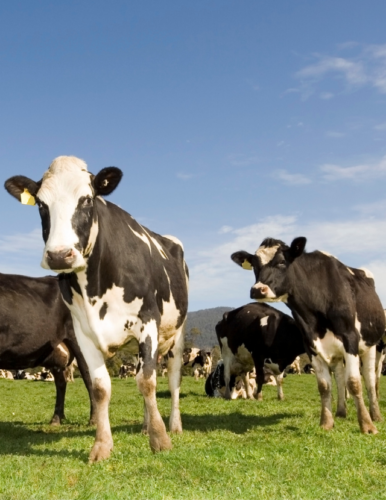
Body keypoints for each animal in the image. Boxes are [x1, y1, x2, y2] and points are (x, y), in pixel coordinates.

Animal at [231, 235, 384, 434]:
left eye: (282, 262)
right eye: (255, 265)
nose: (257, 289)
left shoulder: (350, 338)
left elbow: (354, 382)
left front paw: (367, 425)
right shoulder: (311, 343)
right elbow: (324, 386)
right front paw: (326, 422)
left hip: (370, 345)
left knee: (369, 378)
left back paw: (376, 415)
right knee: (339, 376)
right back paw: (341, 411)